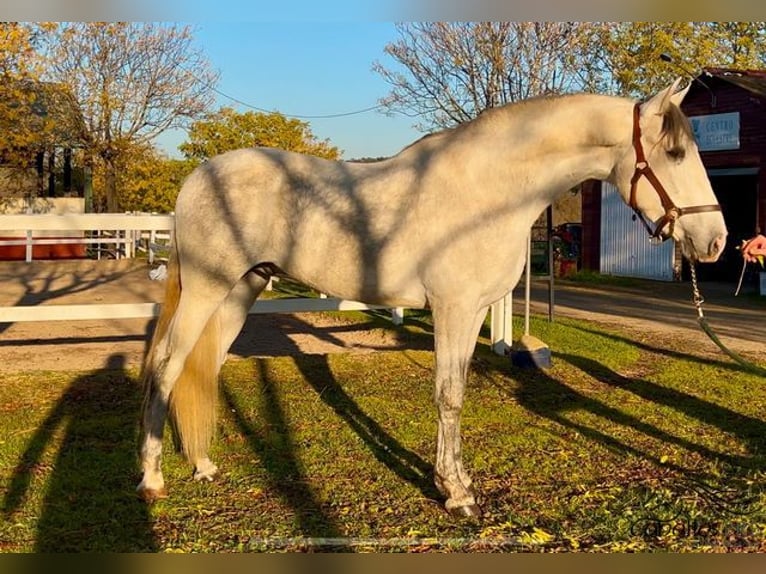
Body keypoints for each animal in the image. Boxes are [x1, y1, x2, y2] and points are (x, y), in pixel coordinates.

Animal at [140, 80, 732, 516]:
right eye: (675, 152)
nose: (716, 242)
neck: (488, 191)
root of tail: (198, 178)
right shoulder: (453, 309)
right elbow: (448, 395)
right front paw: (457, 495)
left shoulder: (473, 313)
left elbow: (459, 392)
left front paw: (455, 479)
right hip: (208, 288)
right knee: (167, 366)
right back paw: (152, 478)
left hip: (243, 289)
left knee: (203, 366)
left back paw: (204, 465)